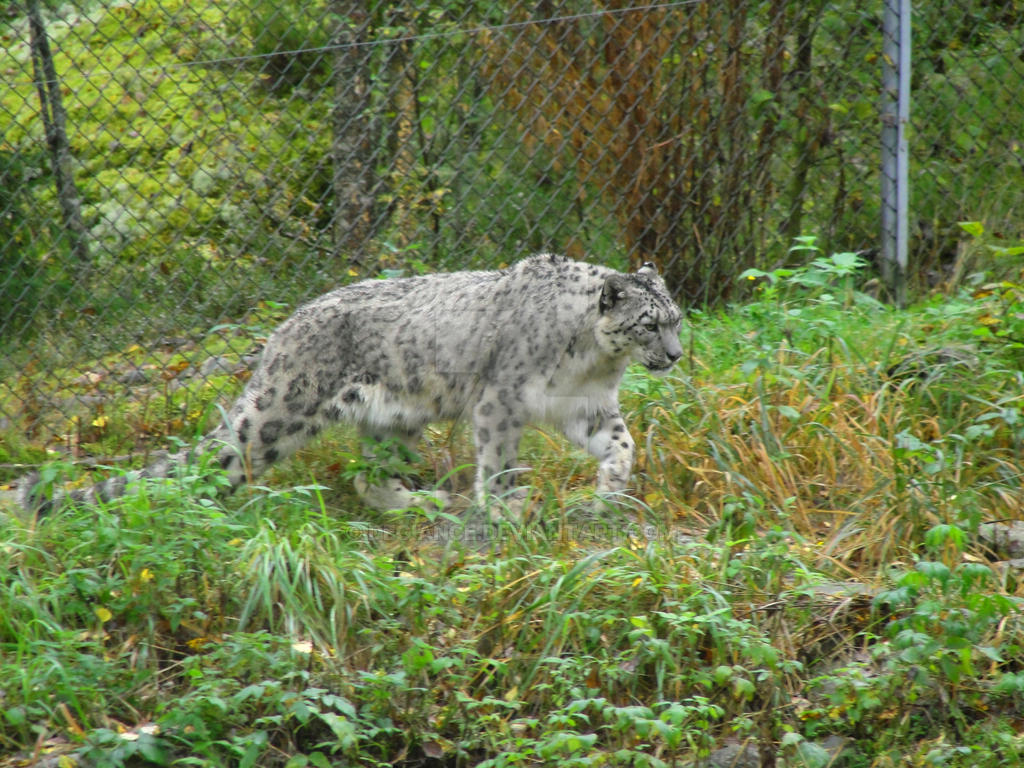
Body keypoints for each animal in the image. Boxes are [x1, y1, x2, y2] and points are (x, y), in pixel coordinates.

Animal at [18, 257, 679, 518]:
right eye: (649, 324)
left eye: (676, 319)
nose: (674, 356)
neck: (591, 363)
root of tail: (282, 330)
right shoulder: (502, 402)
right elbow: (496, 460)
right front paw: (504, 506)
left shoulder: (586, 406)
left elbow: (622, 442)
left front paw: (612, 487)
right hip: (279, 415)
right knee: (224, 459)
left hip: (396, 420)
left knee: (368, 477)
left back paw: (418, 501)